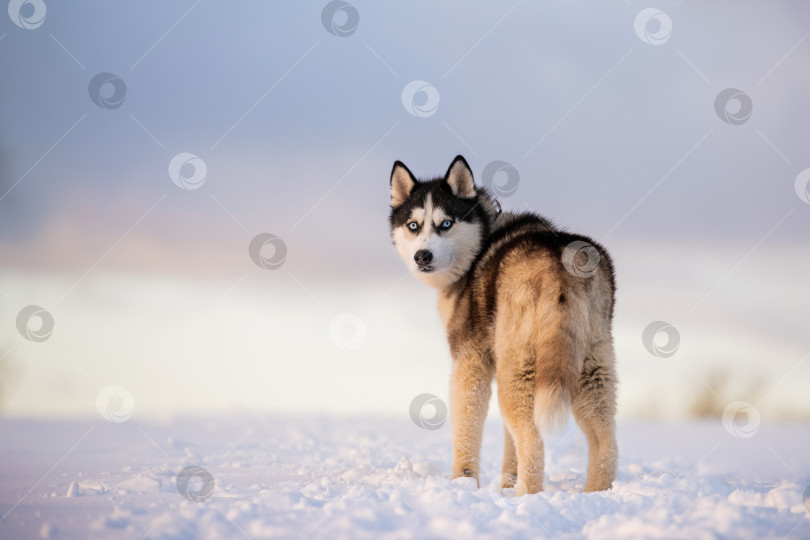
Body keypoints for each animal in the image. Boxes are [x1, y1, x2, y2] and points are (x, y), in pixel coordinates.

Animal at [388, 155, 616, 494]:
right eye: (413, 225)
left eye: (446, 223)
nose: (422, 256)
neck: (481, 240)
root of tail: (559, 262)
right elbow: (509, 444)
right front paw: (507, 484)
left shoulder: (469, 362)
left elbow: (466, 430)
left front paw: (463, 483)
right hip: (590, 367)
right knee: (606, 444)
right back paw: (594, 494)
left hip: (518, 370)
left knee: (533, 443)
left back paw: (527, 496)